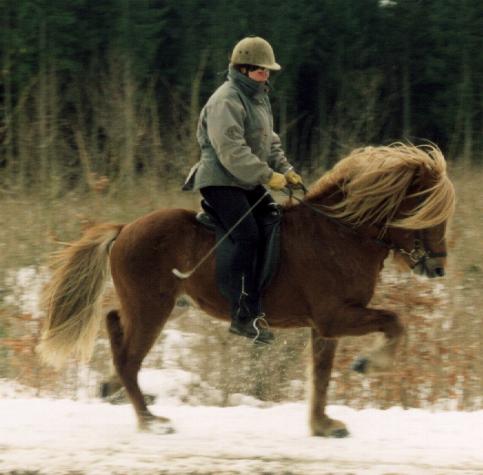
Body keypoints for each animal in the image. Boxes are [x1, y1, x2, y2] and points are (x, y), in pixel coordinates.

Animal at [38, 144, 458, 438]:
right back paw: (150, 420)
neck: (341, 234)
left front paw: (323, 425)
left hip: (153, 306)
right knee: (128, 357)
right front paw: (369, 364)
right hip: (151, 308)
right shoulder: (336, 316)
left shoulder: (325, 325)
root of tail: (125, 229)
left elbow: (321, 374)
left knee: (114, 325)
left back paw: (115, 390)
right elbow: (395, 322)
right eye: (426, 210)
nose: (437, 267)